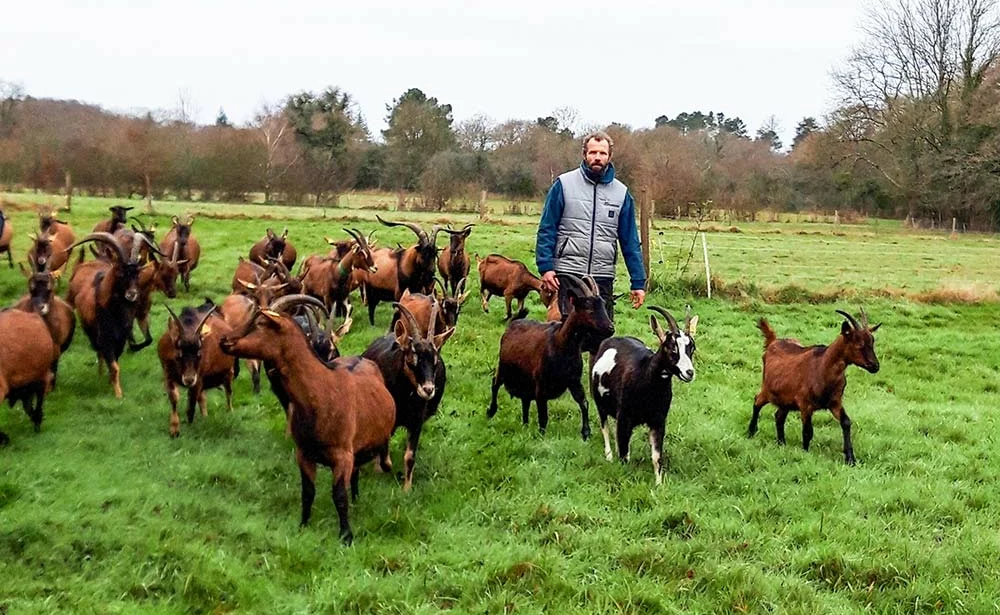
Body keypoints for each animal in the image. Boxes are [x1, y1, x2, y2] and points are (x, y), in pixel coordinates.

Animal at [160, 302, 238, 438]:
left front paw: (189, 427)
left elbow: (191, 405)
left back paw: (230, 412)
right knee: (203, 398)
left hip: (228, 372)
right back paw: (205, 417)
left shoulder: (198, 378)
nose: (189, 379)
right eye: (178, 355)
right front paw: (174, 430)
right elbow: (174, 398)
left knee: (228, 392)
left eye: (199, 354)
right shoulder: (168, 374)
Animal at [221, 298, 396, 544]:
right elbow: (308, 492)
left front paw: (346, 535)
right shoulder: (304, 453)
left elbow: (338, 495)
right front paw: (303, 525)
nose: (224, 340)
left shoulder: (342, 455)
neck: (321, 390)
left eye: (261, 322)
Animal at [588, 306, 700, 484]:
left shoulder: (658, 420)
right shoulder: (624, 417)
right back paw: (609, 455)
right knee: (604, 426)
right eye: (671, 348)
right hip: (600, 402)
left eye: (692, 348)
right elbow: (624, 455)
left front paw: (659, 484)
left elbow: (656, 457)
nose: (689, 373)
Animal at [752, 310, 884, 464]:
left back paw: (781, 443)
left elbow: (846, 422)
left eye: (872, 342)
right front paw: (805, 453)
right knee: (757, 401)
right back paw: (751, 432)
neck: (823, 366)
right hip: (768, 390)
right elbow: (807, 431)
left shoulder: (834, 402)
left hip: (786, 400)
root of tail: (773, 341)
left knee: (779, 416)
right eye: (859, 344)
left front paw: (850, 459)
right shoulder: (805, 404)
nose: (875, 366)